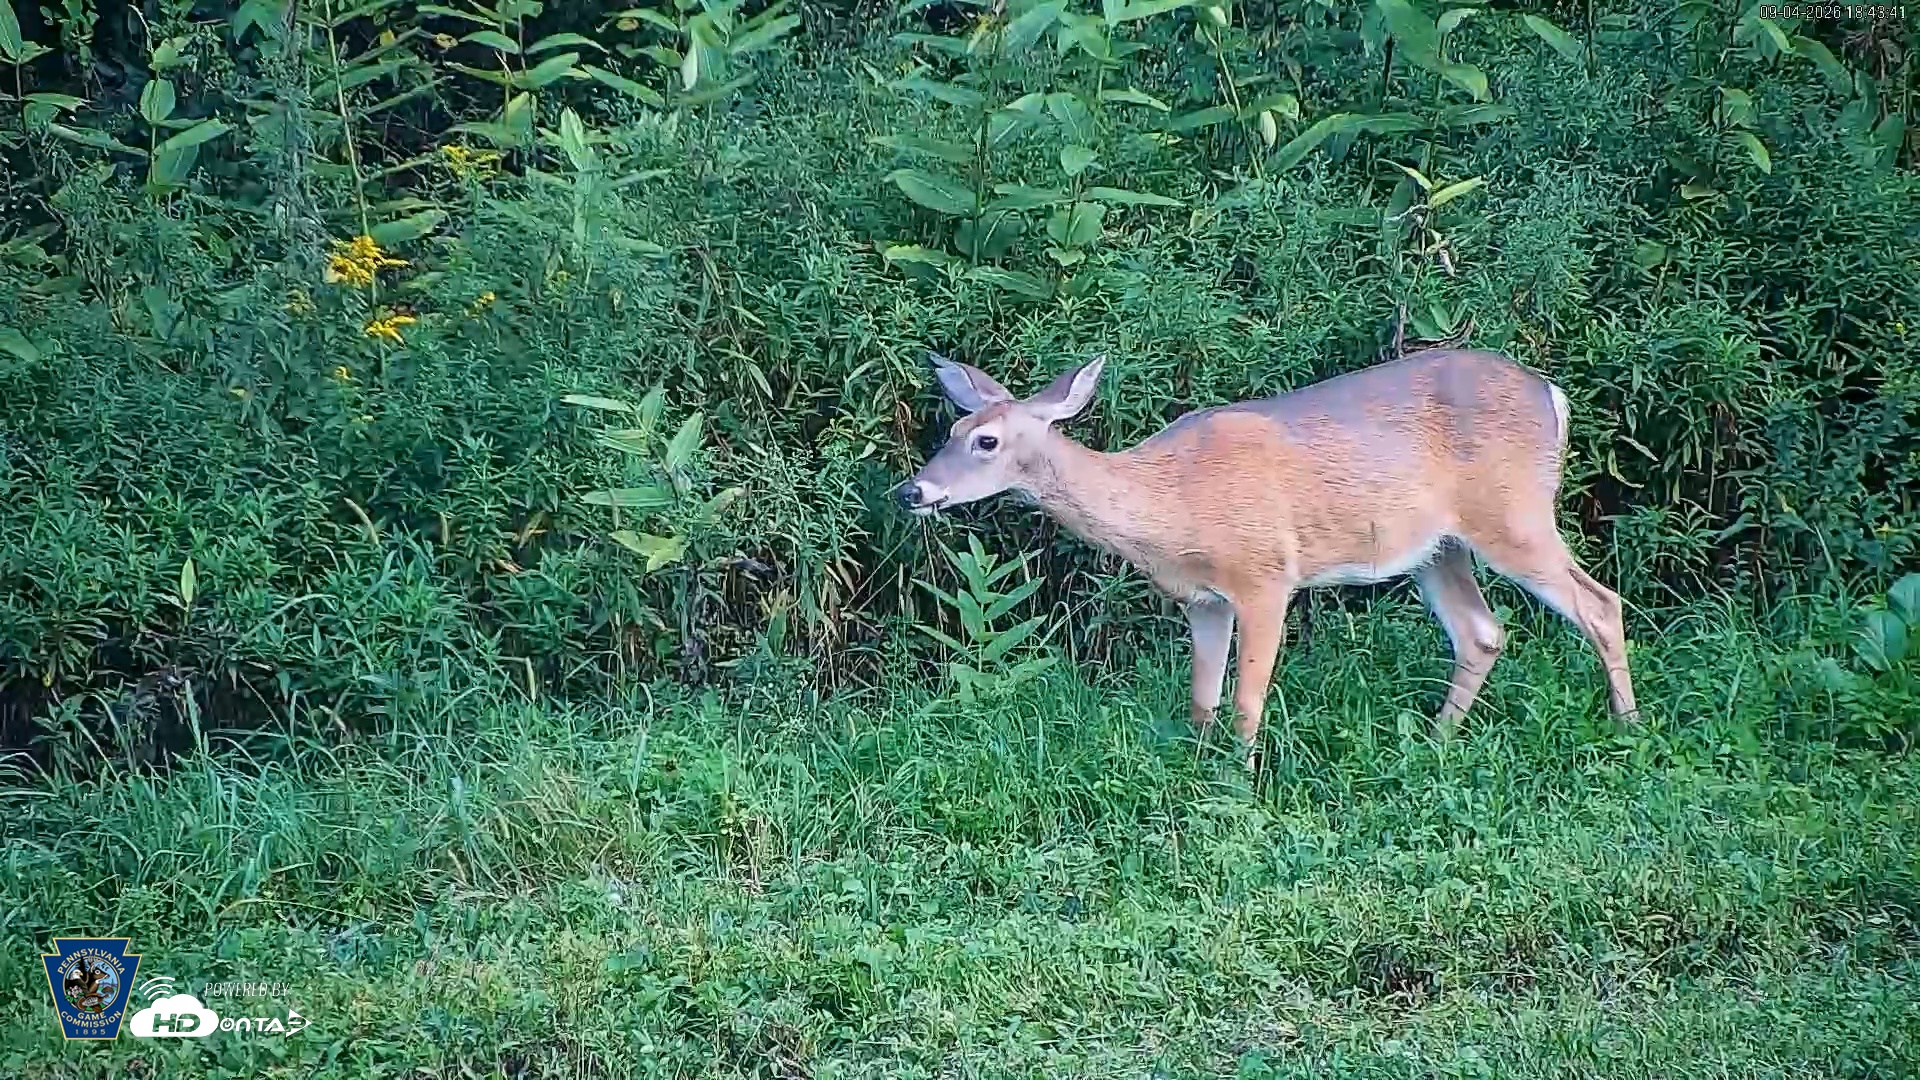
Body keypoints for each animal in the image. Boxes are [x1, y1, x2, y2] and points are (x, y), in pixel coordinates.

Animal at [897, 348, 1638, 755]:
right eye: (951, 429)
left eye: (986, 441)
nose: (912, 490)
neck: (1170, 502)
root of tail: (1553, 395)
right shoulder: (1202, 600)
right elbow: (1201, 700)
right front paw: (1196, 776)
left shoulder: (1264, 576)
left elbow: (1246, 703)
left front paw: (1241, 791)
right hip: (1437, 547)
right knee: (1482, 631)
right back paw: (1432, 743)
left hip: (1513, 513)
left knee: (1600, 604)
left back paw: (1627, 728)